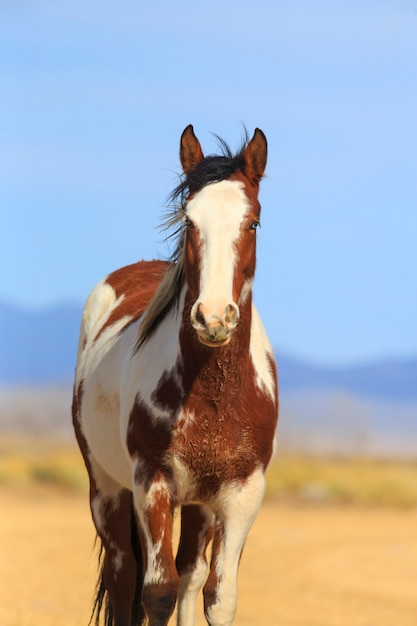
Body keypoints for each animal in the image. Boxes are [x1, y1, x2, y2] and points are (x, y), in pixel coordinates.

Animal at [72, 124, 278, 620]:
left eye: (253, 222)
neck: (213, 394)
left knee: (191, 573)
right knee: (124, 574)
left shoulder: (241, 495)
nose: (214, 317)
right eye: (189, 222)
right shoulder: (152, 484)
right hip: (106, 488)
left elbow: (217, 596)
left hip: (200, 504)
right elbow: (158, 593)